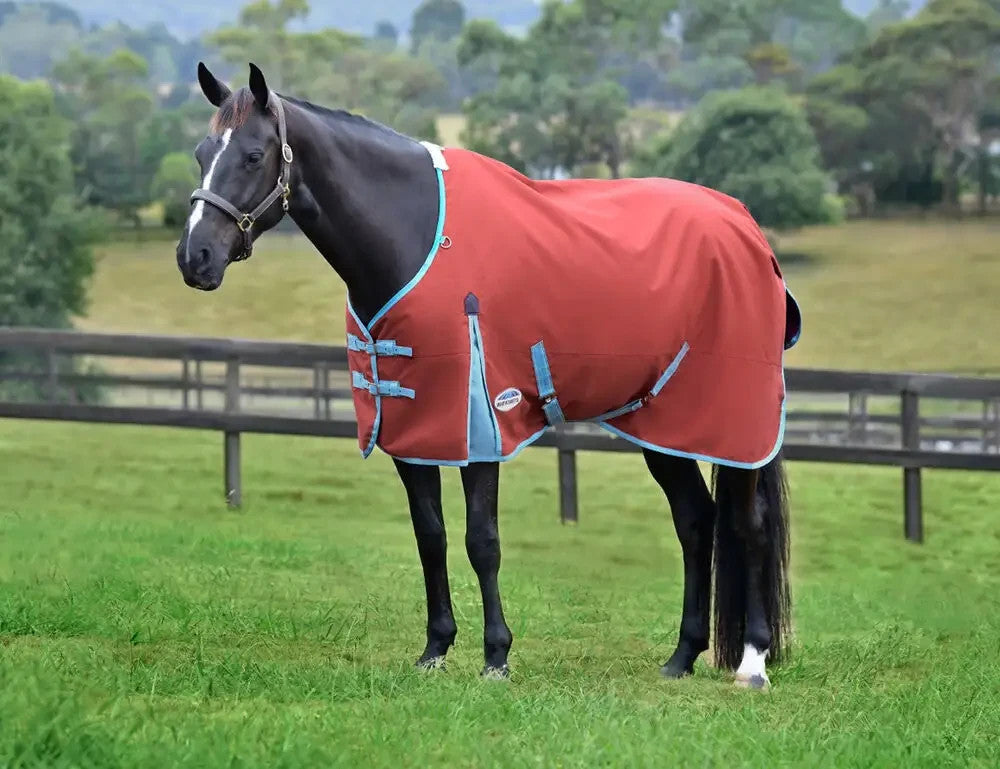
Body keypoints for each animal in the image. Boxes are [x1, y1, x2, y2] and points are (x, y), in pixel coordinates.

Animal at [176, 62, 799, 689]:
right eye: (202, 152)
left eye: (254, 155)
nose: (194, 257)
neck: (413, 236)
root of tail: (746, 227)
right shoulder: (414, 429)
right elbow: (430, 535)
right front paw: (435, 648)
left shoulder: (479, 426)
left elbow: (483, 541)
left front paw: (496, 655)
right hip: (663, 425)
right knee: (695, 521)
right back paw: (681, 657)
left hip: (733, 425)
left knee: (749, 525)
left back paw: (752, 661)